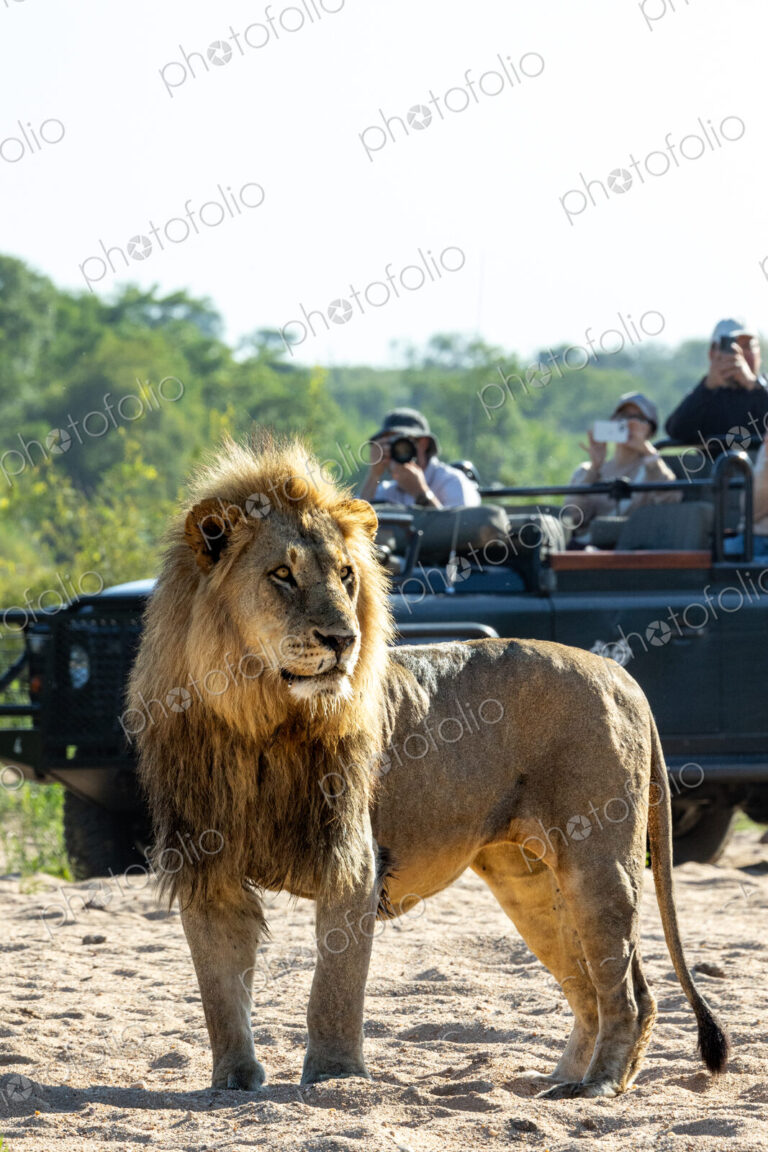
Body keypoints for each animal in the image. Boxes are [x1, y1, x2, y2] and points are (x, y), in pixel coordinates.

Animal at [128, 435, 729, 1098]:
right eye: (281, 574)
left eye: (346, 575)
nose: (343, 640)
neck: (261, 722)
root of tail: (622, 674)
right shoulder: (208, 867)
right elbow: (219, 992)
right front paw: (232, 1083)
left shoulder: (353, 862)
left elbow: (333, 988)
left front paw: (335, 1078)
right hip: (530, 881)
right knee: (592, 989)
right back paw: (556, 1082)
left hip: (598, 862)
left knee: (628, 992)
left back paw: (593, 1087)